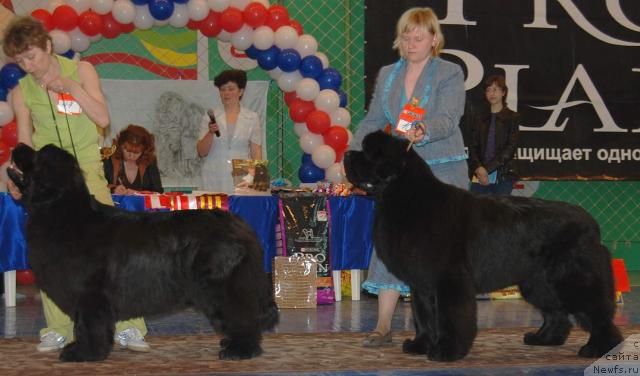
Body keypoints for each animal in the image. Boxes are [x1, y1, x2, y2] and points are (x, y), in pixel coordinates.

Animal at [7, 143, 278, 362]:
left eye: (36, 155)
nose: (17, 145)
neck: (62, 210)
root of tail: (239, 224)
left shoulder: (90, 295)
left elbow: (87, 325)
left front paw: (84, 353)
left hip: (221, 286)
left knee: (242, 315)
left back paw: (240, 350)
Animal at [348, 131, 624, 362]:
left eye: (369, 153)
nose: (348, 154)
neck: (405, 196)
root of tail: (591, 224)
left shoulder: (448, 280)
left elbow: (449, 318)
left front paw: (447, 351)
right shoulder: (422, 283)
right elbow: (423, 316)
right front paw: (420, 345)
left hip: (572, 278)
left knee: (596, 312)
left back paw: (600, 348)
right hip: (537, 282)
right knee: (556, 312)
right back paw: (543, 339)